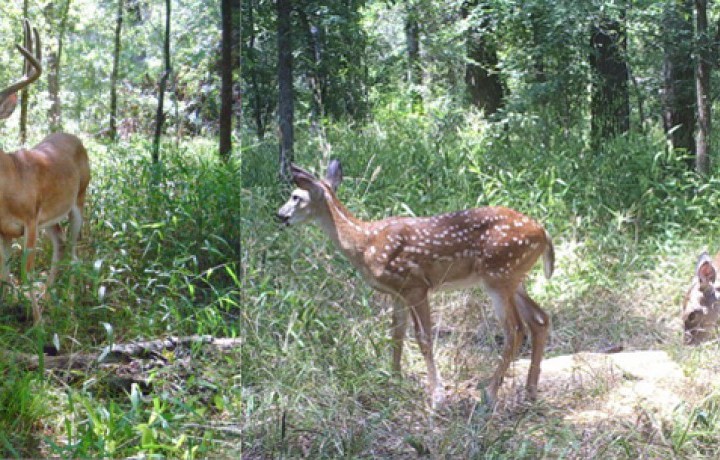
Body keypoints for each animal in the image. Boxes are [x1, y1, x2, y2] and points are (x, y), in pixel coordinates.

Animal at [0, 21, 91, 324]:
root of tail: (72, 136)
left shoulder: (30, 219)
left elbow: (25, 272)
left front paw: (38, 324)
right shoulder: (2, 230)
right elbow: (4, 273)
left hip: (80, 198)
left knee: (73, 250)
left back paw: (71, 305)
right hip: (50, 216)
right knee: (60, 245)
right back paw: (50, 297)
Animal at [278, 160, 556, 408]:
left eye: (295, 196)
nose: (280, 215)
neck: (364, 243)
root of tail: (544, 233)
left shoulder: (416, 286)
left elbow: (423, 338)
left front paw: (437, 399)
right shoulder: (396, 292)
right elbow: (396, 333)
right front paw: (394, 379)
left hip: (499, 275)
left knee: (516, 329)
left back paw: (490, 394)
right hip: (514, 278)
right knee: (540, 319)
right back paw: (530, 391)